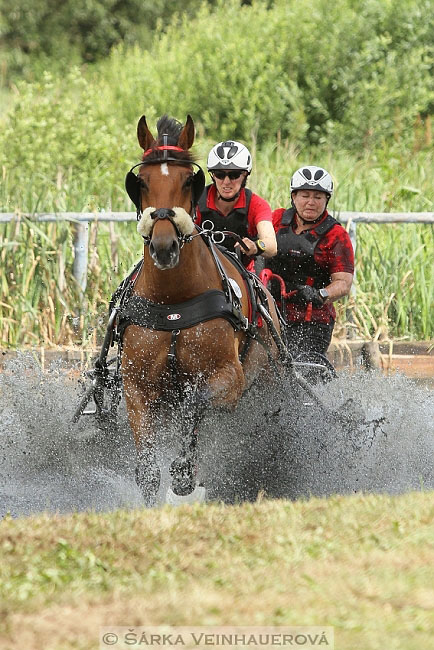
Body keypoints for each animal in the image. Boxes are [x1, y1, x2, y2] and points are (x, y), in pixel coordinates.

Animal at [118, 114, 284, 504]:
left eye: (186, 181)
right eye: (141, 181)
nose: (164, 247)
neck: (173, 302)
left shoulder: (229, 380)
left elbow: (195, 402)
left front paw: (183, 472)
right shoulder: (136, 387)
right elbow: (148, 472)